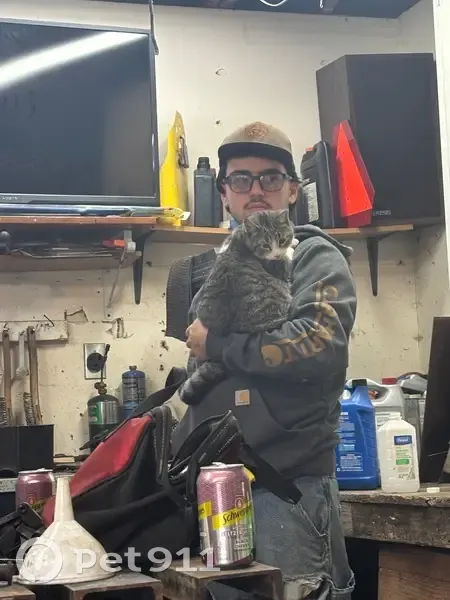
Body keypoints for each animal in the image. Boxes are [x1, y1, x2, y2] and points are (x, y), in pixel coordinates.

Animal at [179, 208, 295, 405]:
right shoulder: (277, 268)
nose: (276, 254)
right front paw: (293, 247)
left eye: (281, 240)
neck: (242, 238)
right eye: (265, 245)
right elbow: (287, 260)